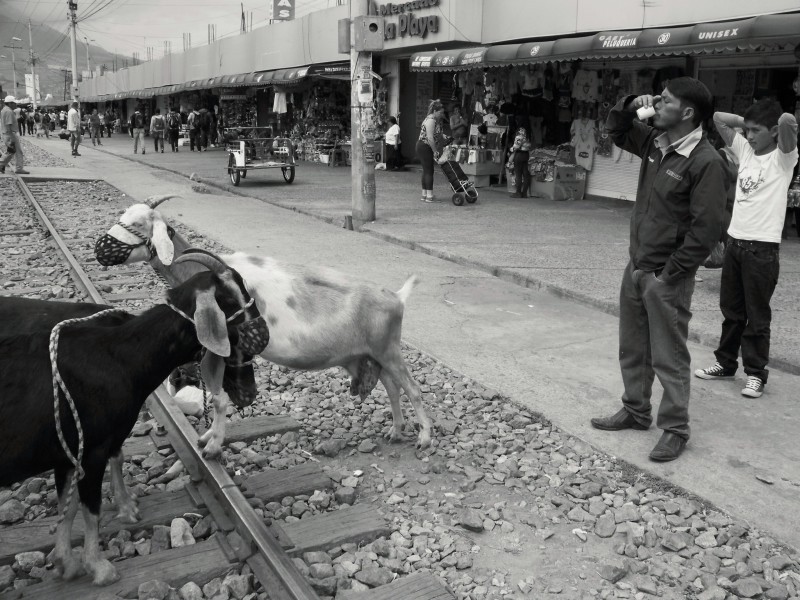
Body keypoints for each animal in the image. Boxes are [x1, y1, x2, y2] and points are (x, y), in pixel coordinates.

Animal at [0, 254, 264, 584]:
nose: (250, 395)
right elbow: (90, 507)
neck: (121, 354)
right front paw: (99, 567)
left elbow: (69, 506)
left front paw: (67, 561)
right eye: (230, 299)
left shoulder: (70, 453)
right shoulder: (90, 448)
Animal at [94, 199, 434, 452]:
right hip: (372, 355)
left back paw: (424, 438)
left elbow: (218, 398)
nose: (99, 248)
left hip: (389, 350)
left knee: (413, 389)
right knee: (392, 388)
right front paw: (207, 438)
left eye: (140, 224)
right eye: (123, 216)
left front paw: (212, 445)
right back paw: (396, 431)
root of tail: (397, 297)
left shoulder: (218, 350)